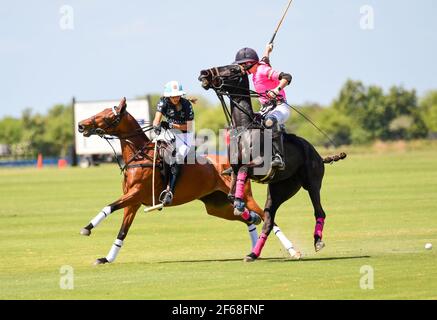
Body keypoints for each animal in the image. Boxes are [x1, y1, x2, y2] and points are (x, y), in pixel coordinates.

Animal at [76, 97, 298, 264]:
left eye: (107, 116)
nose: (81, 125)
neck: (139, 156)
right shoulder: (133, 201)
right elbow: (122, 231)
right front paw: (106, 258)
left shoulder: (136, 193)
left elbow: (109, 206)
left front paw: (86, 228)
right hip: (217, 205)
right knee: (248, 217)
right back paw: (254, 243)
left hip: (244, 196)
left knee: (267, 217)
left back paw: (292, 250)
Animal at [199, 65, 346, 262]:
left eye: (231, 69)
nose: (203, 74)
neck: (245, 129)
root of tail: (318, 155)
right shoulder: (235, 171)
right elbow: (231, 194)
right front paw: (245, 211)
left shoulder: (260, 166)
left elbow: (245, 170)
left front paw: (241, 206)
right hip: (279, 190)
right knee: (269, 220)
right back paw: (253, 254)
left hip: (312, 183)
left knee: (319, 211)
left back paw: (317, 241)